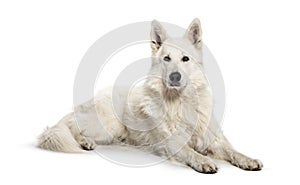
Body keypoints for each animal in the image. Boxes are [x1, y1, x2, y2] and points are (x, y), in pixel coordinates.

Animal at [38, 18, 262, 173]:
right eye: (167, 58)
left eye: (185, 59)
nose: (174, 76)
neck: (179, 103)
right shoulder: (172, 142)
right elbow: (190, 152)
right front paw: (204, 161)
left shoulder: (211, 139)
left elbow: (233, 151)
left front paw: (248, 160)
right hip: (108, 125)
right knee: (72, 128)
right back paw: (84, 141)